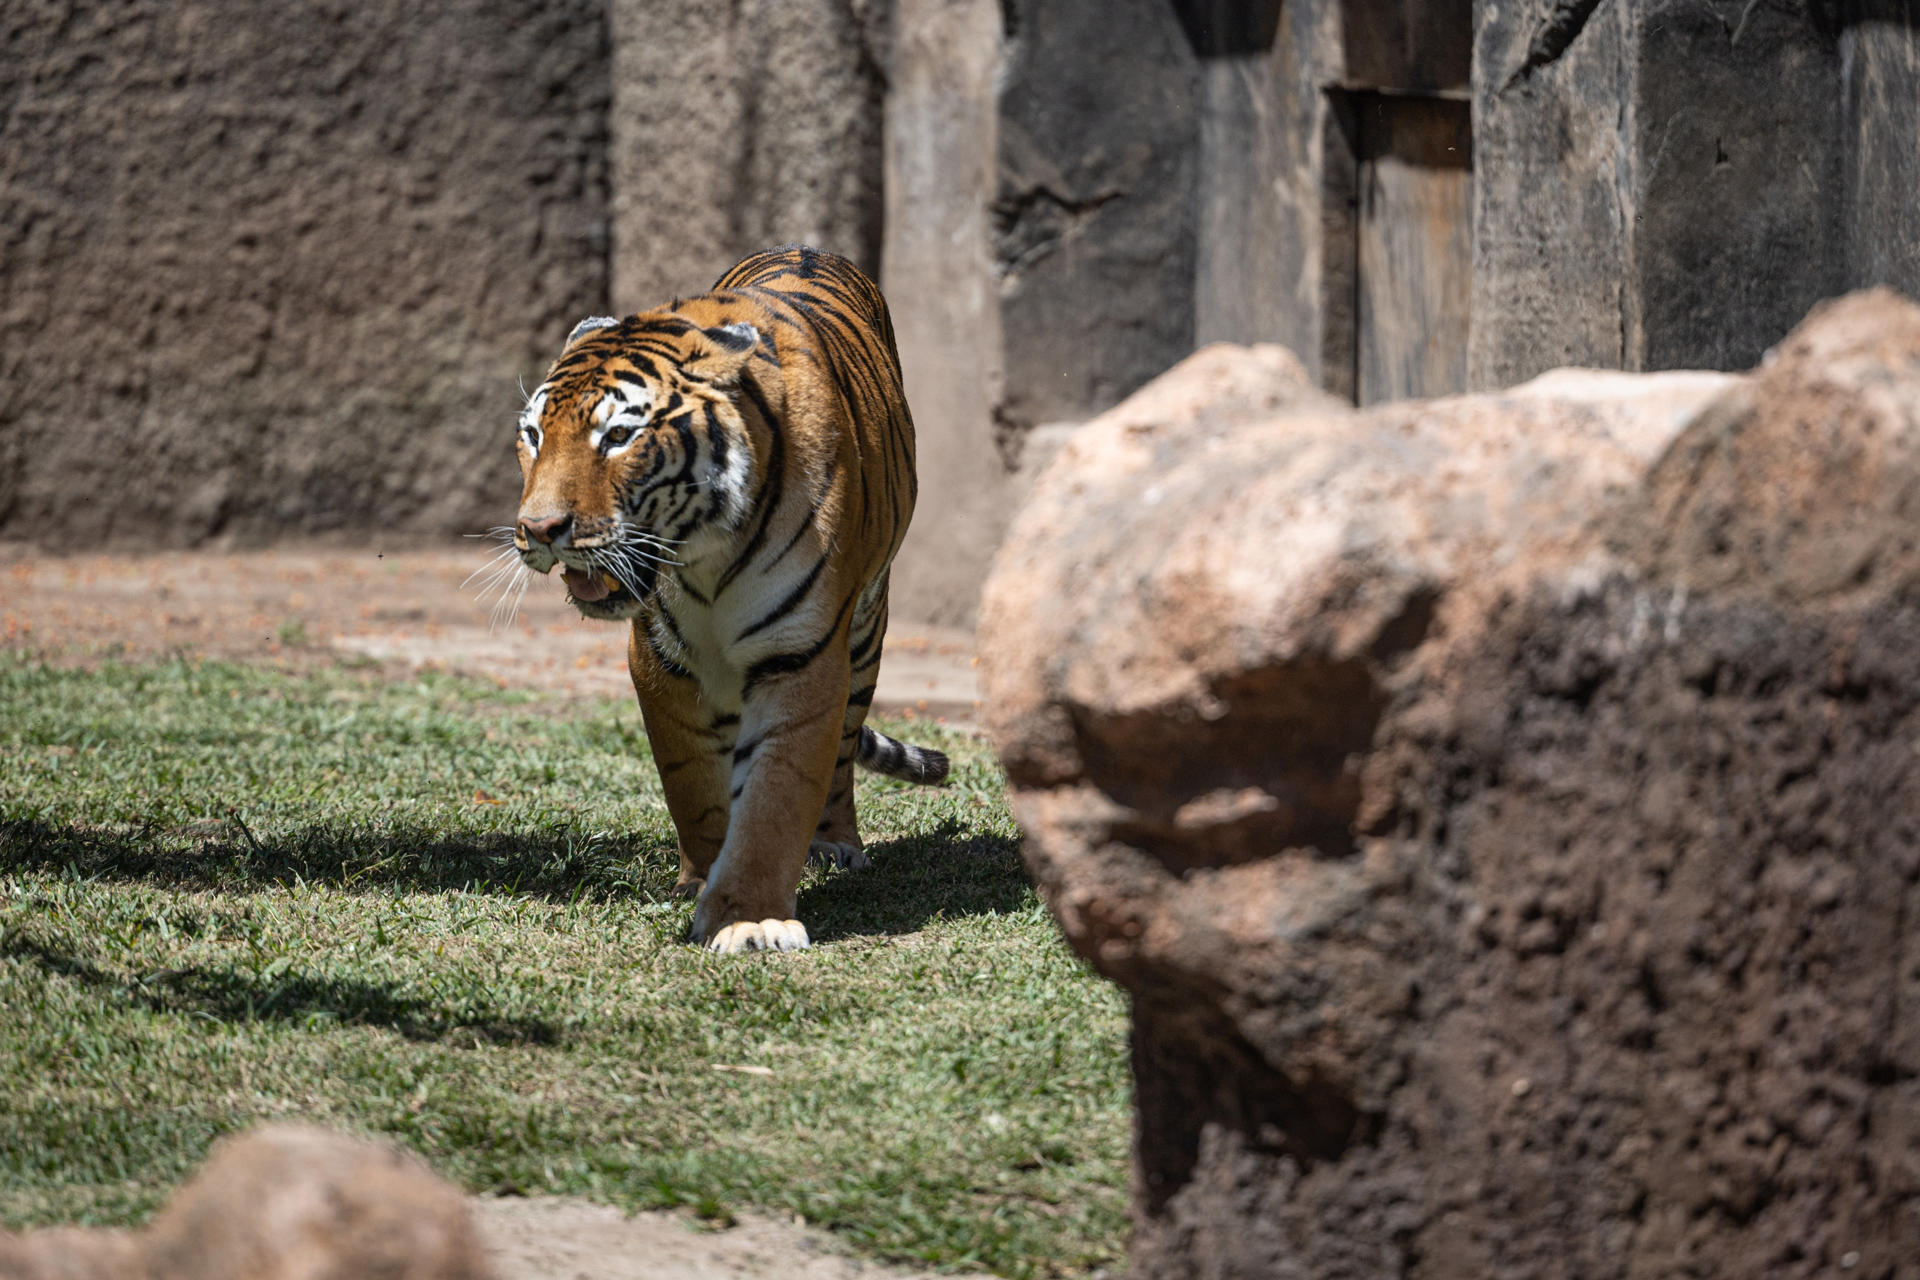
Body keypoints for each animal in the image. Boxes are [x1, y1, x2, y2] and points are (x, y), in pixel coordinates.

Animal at [509, 245, 949, 954]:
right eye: (533, 436)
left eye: (618, 437)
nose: (540, 530)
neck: (706, 555)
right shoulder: (660, 660)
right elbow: (695, 786)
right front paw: (701, 881)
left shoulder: (800, 655)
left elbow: (777, 793)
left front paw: (750, 918)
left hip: (864, 634)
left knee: (842, 752)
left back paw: (837, 845)